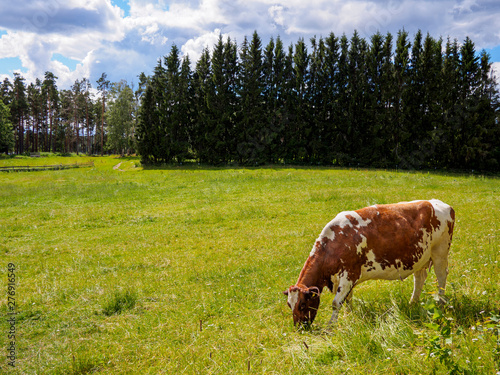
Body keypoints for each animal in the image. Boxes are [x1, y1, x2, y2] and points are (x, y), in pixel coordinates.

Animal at [284, 200, 456, 326]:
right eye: (289, 305)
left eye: (302, 305)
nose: (299, 328)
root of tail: (439, 203)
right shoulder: (347, 279)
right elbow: (348, 299)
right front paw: (349, 316)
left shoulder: (349, 274)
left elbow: (336, 303)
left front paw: (330, 327)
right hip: (420, 257)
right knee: (419, 279)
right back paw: (412, 303)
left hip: (440, 252)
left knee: (441, 277)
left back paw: (440, 304)